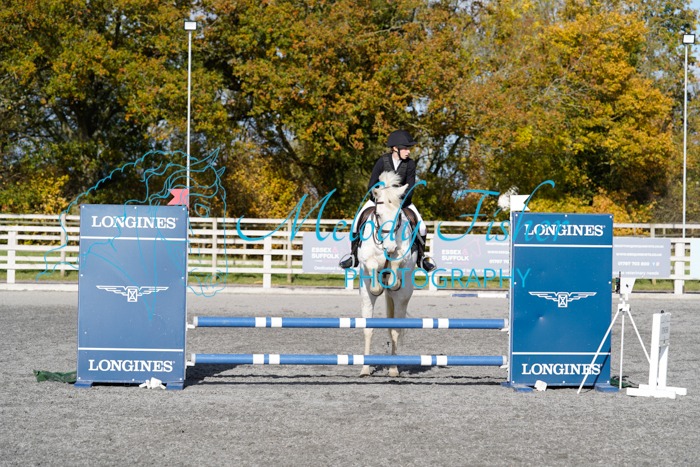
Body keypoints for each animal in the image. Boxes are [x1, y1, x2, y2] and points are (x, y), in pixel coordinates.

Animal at [357, 171, 418, 377]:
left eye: (398, 215)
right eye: (378, 214)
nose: (390, 247)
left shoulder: (405, 256)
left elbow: (397, 261)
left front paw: (392, 280)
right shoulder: (365, 258)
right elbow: (372, 264)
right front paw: (378, 286)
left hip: (402, 298)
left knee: (395, 331)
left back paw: (393, 369)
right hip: (365, 297)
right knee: (368, 329)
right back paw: (365, 369)